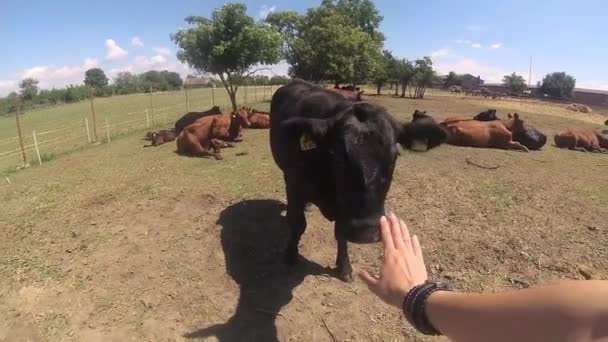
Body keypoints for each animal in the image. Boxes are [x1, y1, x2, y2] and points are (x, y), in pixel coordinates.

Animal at [270, 79, 446, 282]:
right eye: (337, 155)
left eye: (394, 156)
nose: (367, 233)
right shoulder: (294, 185)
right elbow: (297, 223)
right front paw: (290, 255)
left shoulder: (344, 209)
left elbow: (341, 233)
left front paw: (344, 267)